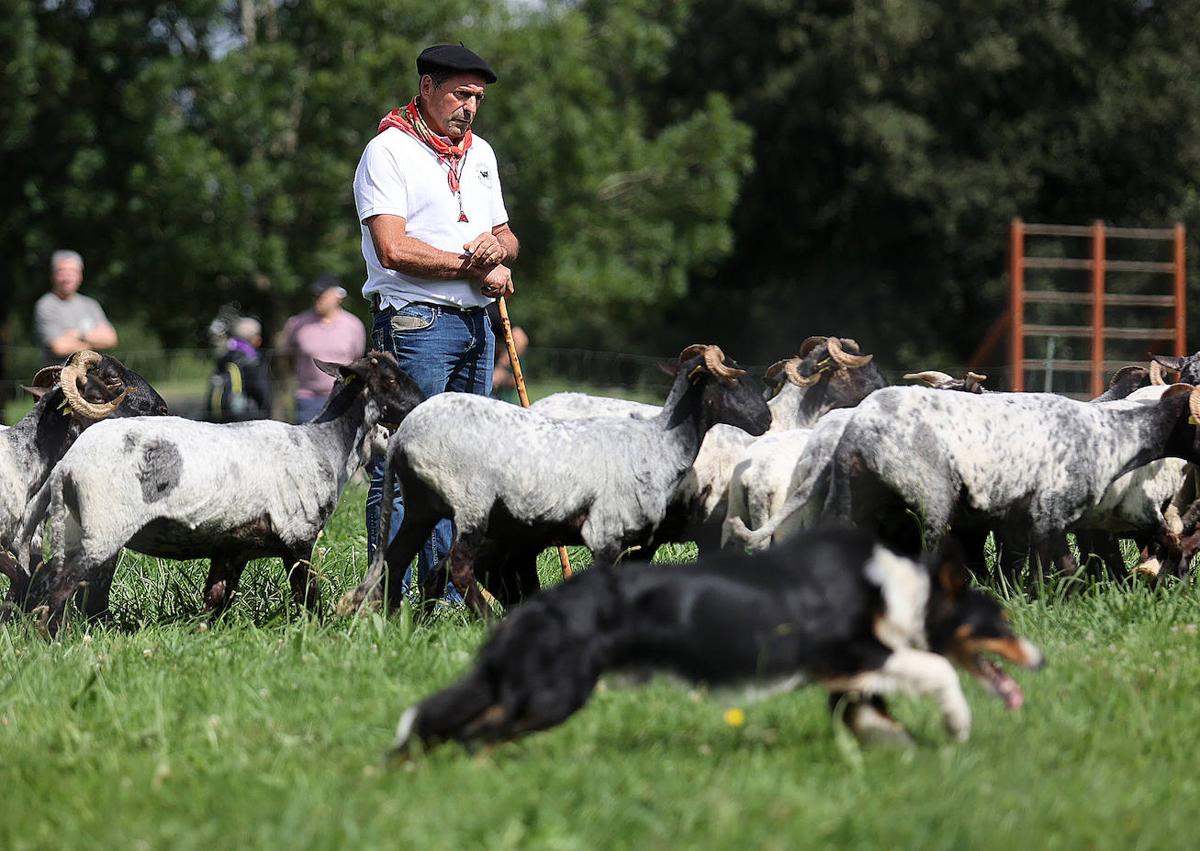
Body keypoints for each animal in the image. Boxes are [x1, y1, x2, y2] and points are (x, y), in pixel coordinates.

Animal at [391, 528, 1041, 753]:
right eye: (1000, 623)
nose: (1040, 657)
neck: (895, 587)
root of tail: (534, 609)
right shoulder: (848, 651)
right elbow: (938, 670)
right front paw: (956, 725)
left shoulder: (847, 673)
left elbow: (865, 714)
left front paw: (904, 750)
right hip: (555, 693)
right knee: (474, 732)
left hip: (532, 687)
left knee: (439, 725)